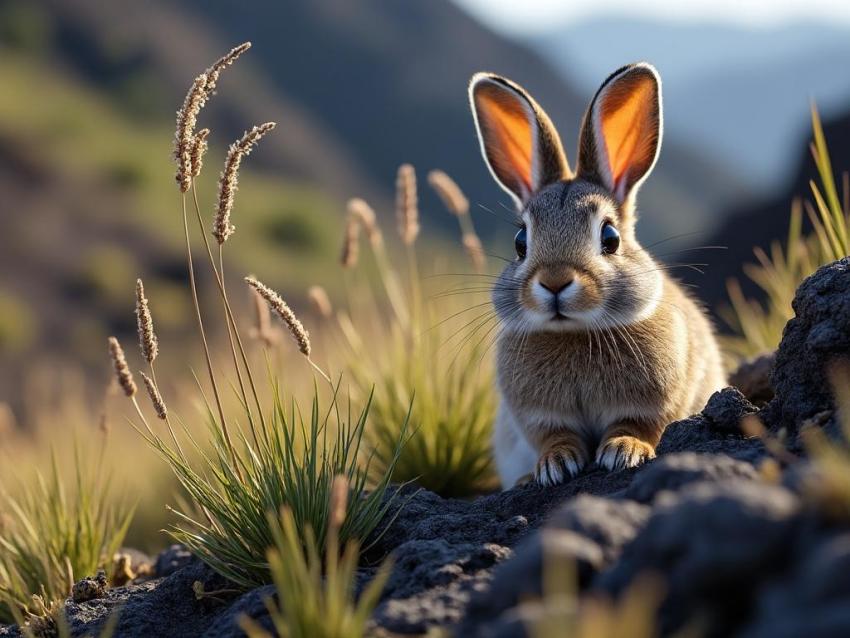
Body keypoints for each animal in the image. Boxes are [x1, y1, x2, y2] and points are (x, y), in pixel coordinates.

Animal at [468, 63, 727, 488]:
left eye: (610, 238)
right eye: (521, 242)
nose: (555, 282)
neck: (575, 332)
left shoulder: (651, 405)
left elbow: (635, 426)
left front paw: (624, 452)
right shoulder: (541, 417)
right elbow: (556, 437)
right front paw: (554, 466)